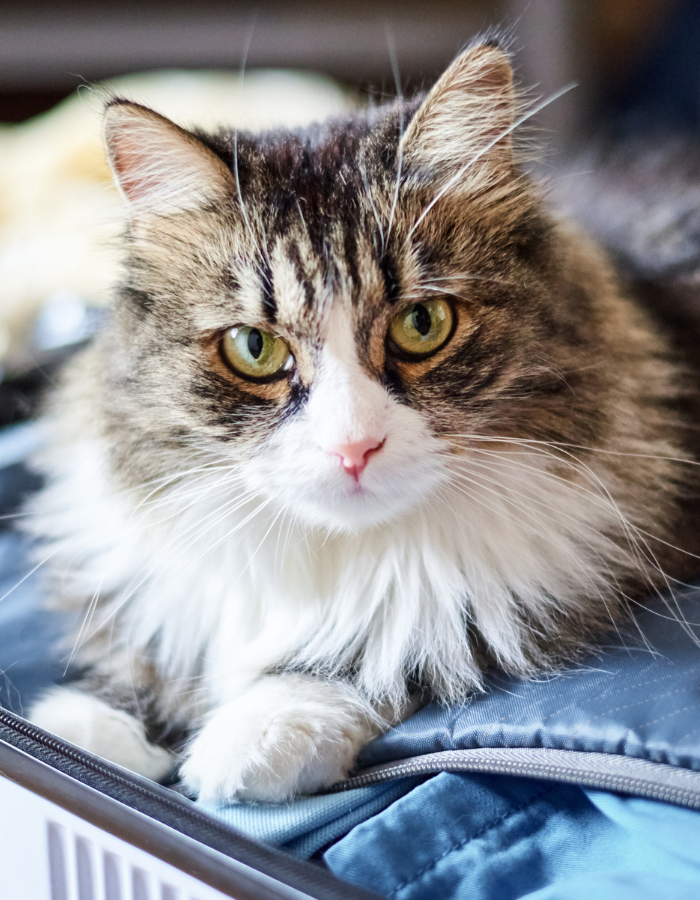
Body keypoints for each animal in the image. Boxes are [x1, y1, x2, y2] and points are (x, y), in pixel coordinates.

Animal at [24, 40, 700, 800]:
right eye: (255, 348)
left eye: (422, 324)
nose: (353, 448)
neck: (345, 553)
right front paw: (93, 730)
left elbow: (391, 647)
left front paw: (258, 732)